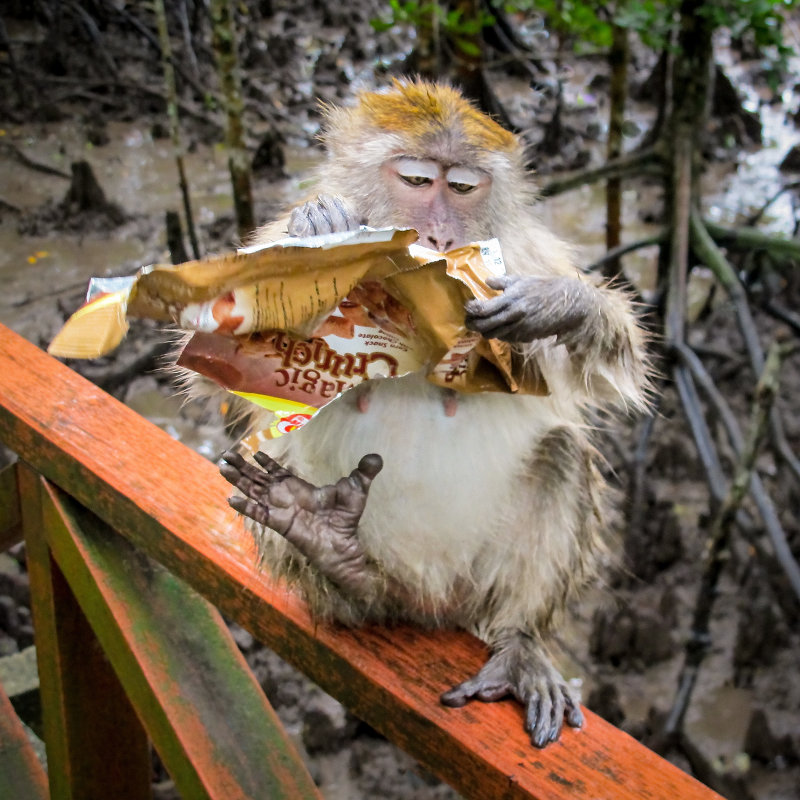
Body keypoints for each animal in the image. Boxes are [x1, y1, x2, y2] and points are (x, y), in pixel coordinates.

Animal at [212, 78, 648, 748]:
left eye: (463, 188)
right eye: (418, 180)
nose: (441, 237)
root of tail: (426, 598)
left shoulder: (525, 253)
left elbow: (613, 361)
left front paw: (560, 304)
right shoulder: (267, 247)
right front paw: (321, 226)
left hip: (476, 585)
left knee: (562, 454)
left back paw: (519, 641)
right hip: (375, 583)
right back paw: (334, 553)